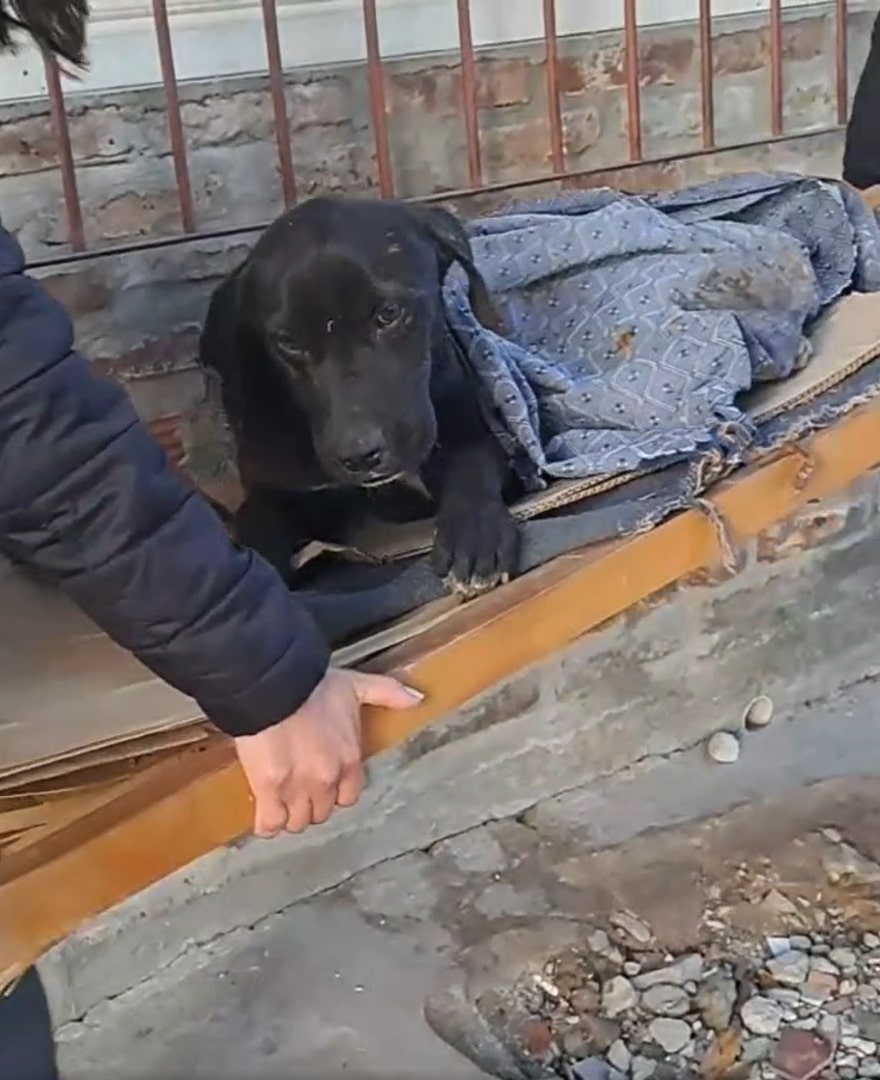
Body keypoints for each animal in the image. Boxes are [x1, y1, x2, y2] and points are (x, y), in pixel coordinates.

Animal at [199, 196, 522, 600]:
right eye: (288, 342)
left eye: (389, 313)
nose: (360, 456)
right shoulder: (280, 487)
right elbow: (256, 520)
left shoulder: (477, 435)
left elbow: (473, 465)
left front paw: (475, 537)